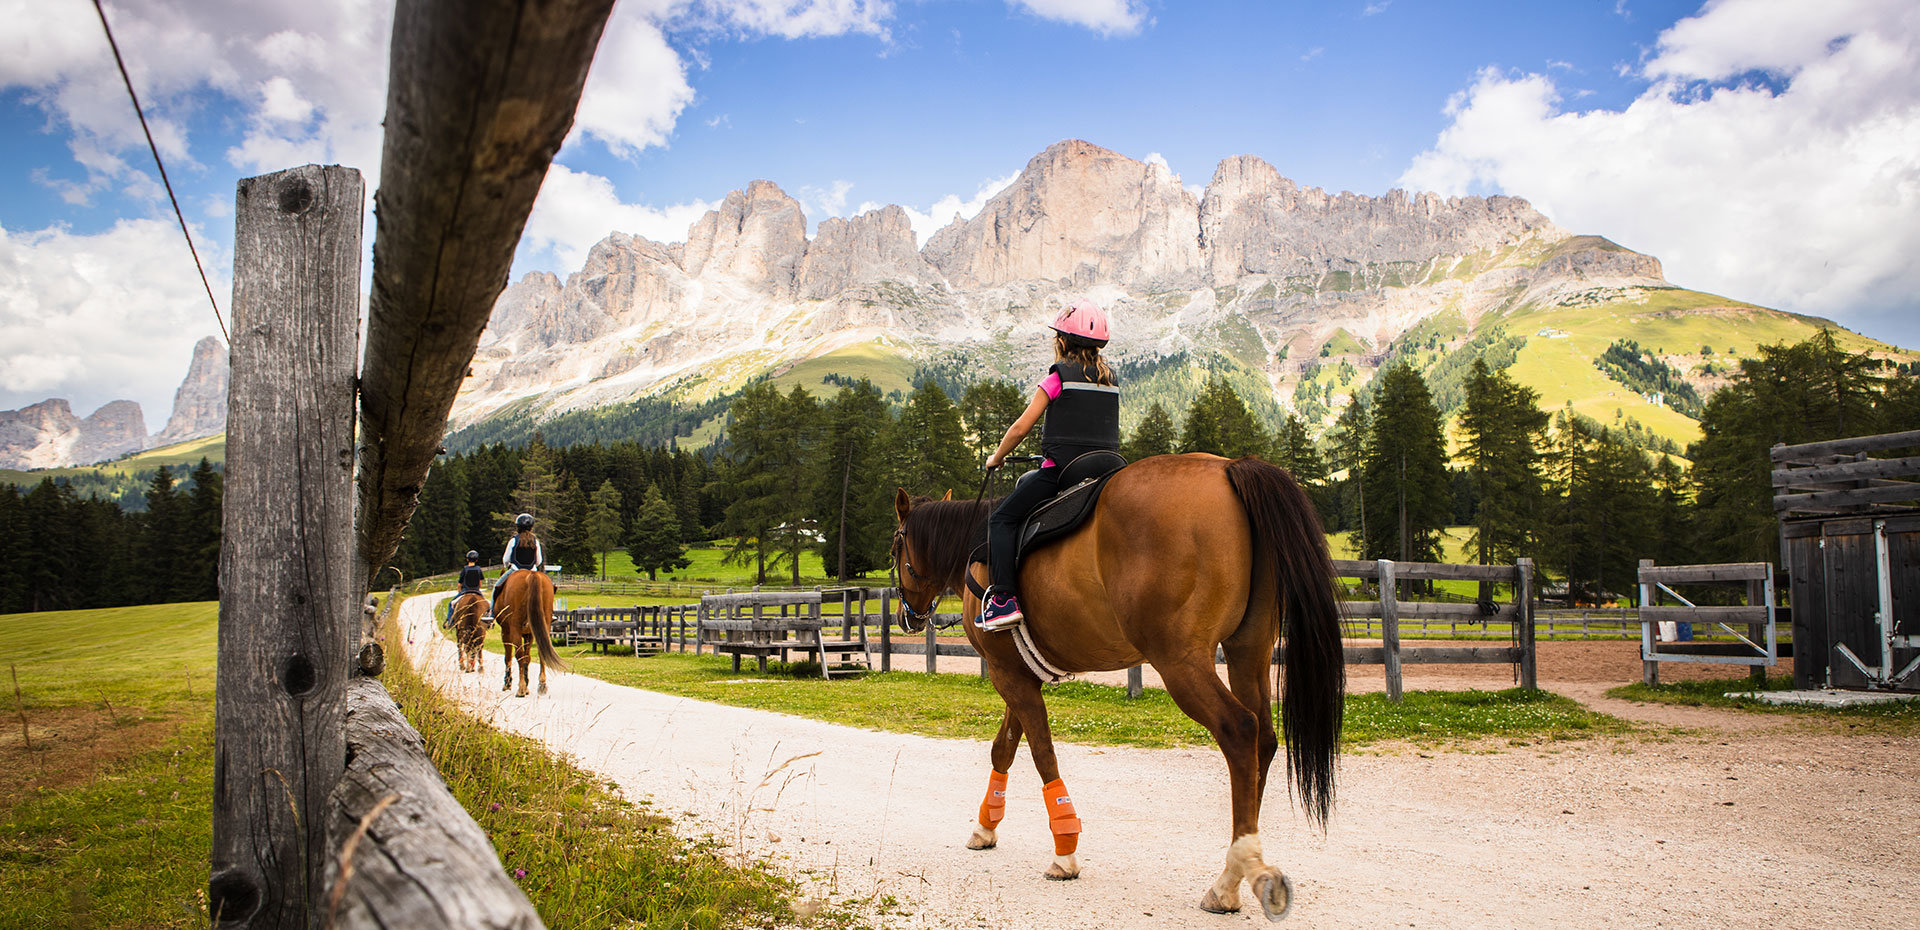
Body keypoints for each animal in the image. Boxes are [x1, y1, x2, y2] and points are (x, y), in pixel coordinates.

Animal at [495, 564, 560, 699]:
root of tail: (532, 575)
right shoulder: (529, 634)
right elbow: (527, 657)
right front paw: (527, 683)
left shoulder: (506, 632)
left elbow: (509, 657)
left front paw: (508, 683)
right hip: (543, 626)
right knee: (541, 652)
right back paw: (542, 685)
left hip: (514, 629)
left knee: (518, 655)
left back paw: (520, 689)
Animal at [890, 453, 1344, 918]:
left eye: (895, 546)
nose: (906, 615)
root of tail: (1230, 466)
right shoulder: (1017, 671)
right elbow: (1005, 747)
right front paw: (985, 828)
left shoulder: (1006, 673)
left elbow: (1042, 754)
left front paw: (1065, 850)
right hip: (1247, 650)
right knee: (1264, 740)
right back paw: (1234, 868)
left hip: (1180, 660)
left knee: (1239, 729)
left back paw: (1232, 877)